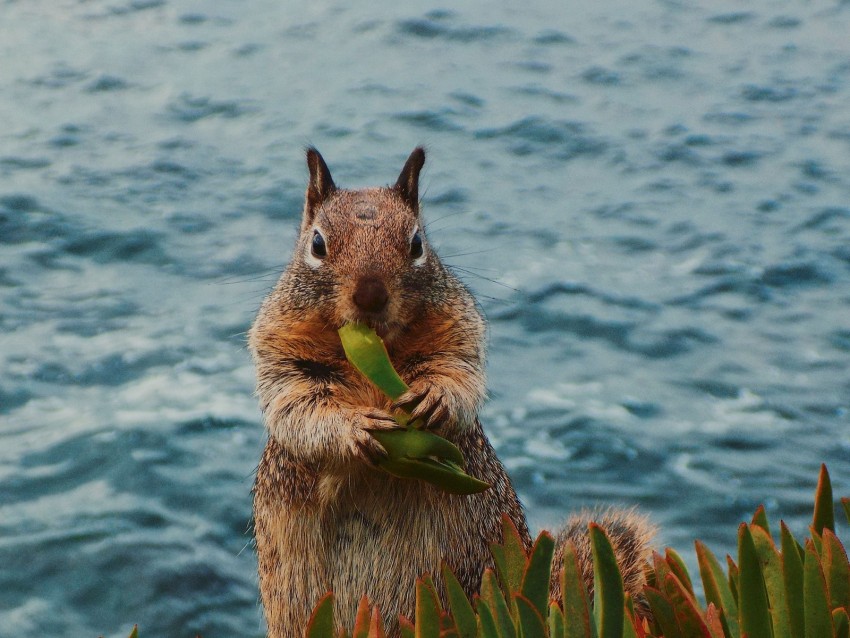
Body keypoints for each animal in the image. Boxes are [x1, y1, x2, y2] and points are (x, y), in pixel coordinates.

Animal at [248, 149, 652, 638]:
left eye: (417, 243)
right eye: (318, 244)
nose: (370, 295)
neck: (375, 353)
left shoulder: (459, 331)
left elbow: (460, 374)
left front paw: (434, 399)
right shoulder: (280, 352)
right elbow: (297, 408)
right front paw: (356, 428)